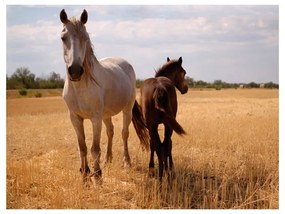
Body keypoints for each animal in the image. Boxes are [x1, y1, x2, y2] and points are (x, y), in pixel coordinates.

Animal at [60, 9, 149, 183]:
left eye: (85, 38)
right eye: (63, 37)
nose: (75, 71)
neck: (81, 87)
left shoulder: (95, 118)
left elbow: (94, 148)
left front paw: (97, 176)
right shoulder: (75, 118)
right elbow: (82, 147)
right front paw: (84, 173)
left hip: (126, 110)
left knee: (124, 133)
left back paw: (126, 162)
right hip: (106, 115)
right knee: (110, 132)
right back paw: (108, 160)